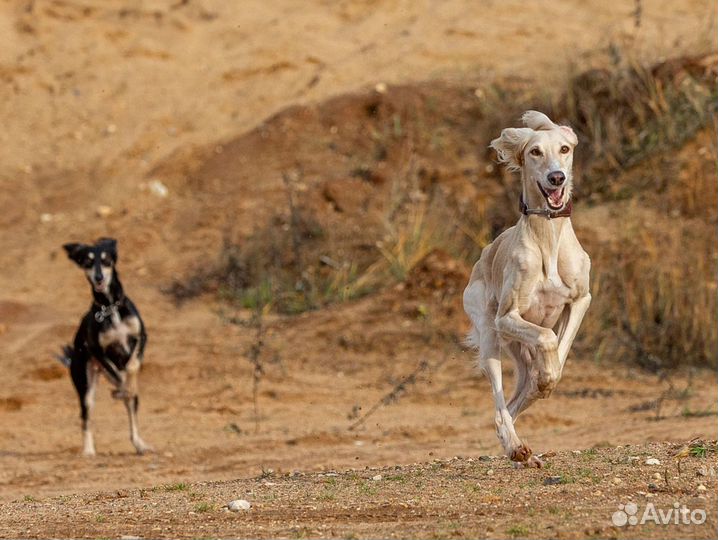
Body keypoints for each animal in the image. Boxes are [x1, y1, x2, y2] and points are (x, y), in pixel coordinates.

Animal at [59, 238, 153, 454]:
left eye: (106, 260)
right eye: (87, 262)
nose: (99, 277)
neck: (109, 307)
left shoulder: (141, 338)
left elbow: (132, 367)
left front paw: (128, 385)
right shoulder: (98, 351)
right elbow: (118, 376)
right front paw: (122, 387)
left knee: (132, 415)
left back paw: (140, 444)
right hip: (85, 386)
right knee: (85, 417)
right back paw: (88, 450)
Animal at [466, 110, 592, 468]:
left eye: (565, 148)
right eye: (535, 151)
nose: (556, 178)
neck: (547, 235)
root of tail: (485, 252)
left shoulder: (580, 300)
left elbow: (560, 351)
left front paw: (548, 379)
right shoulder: (508, 317)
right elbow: (547, 338)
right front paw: (546, 377)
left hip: (518, 349)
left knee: (517, 395)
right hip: (492, 334)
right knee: (499, 406)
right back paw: (515, 445)